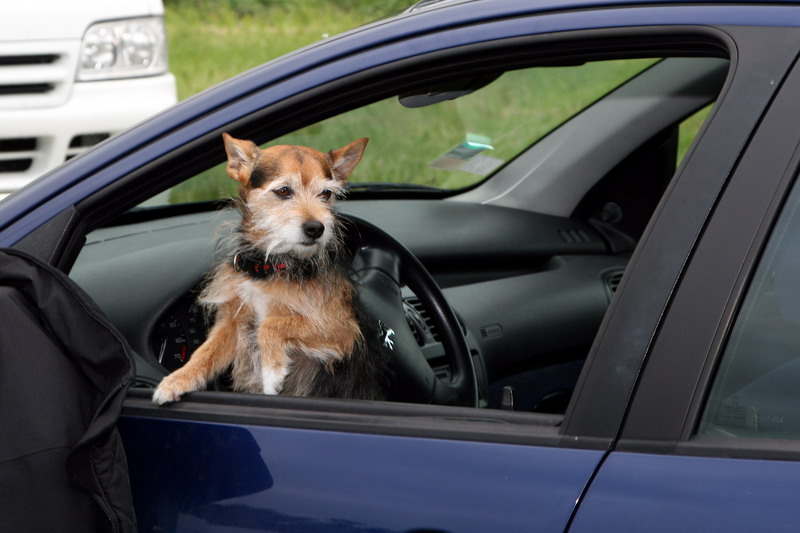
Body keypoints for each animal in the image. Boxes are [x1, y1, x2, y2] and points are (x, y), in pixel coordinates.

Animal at [152, 133, 392, 404]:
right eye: (284, 191)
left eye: (326, 193)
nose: (316, 228)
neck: (270, 267)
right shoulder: (232, 322)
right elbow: (204, 353)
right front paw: (176, 380)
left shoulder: (341, 329)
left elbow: (270, 325)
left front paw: (271, 372)